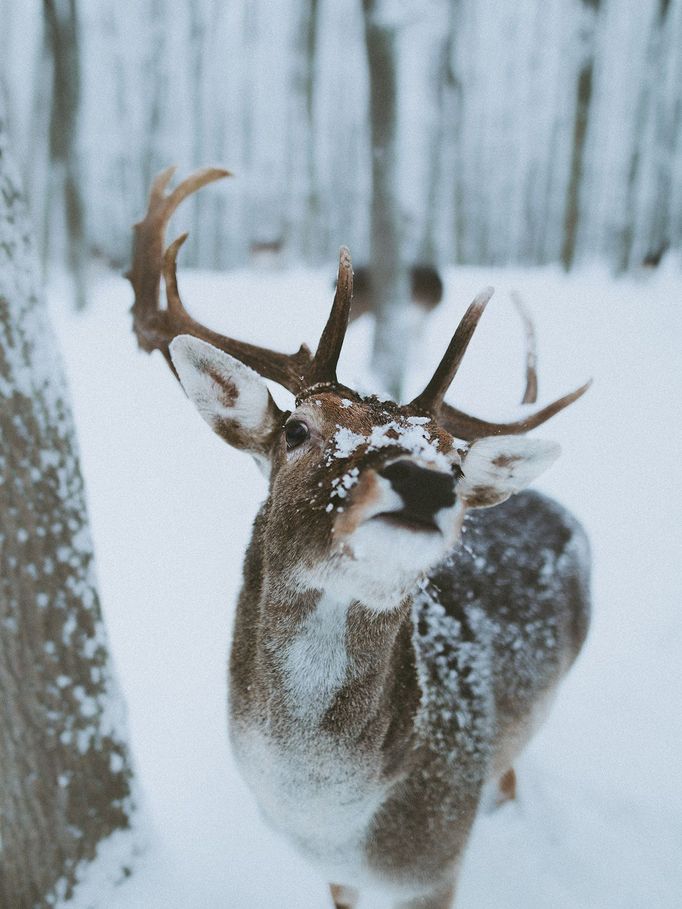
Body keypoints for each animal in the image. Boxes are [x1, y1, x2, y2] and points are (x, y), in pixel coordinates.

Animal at [126, 167, 588, 904]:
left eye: (454, 463)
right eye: (296, 429)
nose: (426, 484)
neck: (331, 823)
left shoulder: (436, 867)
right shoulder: (336, 875)